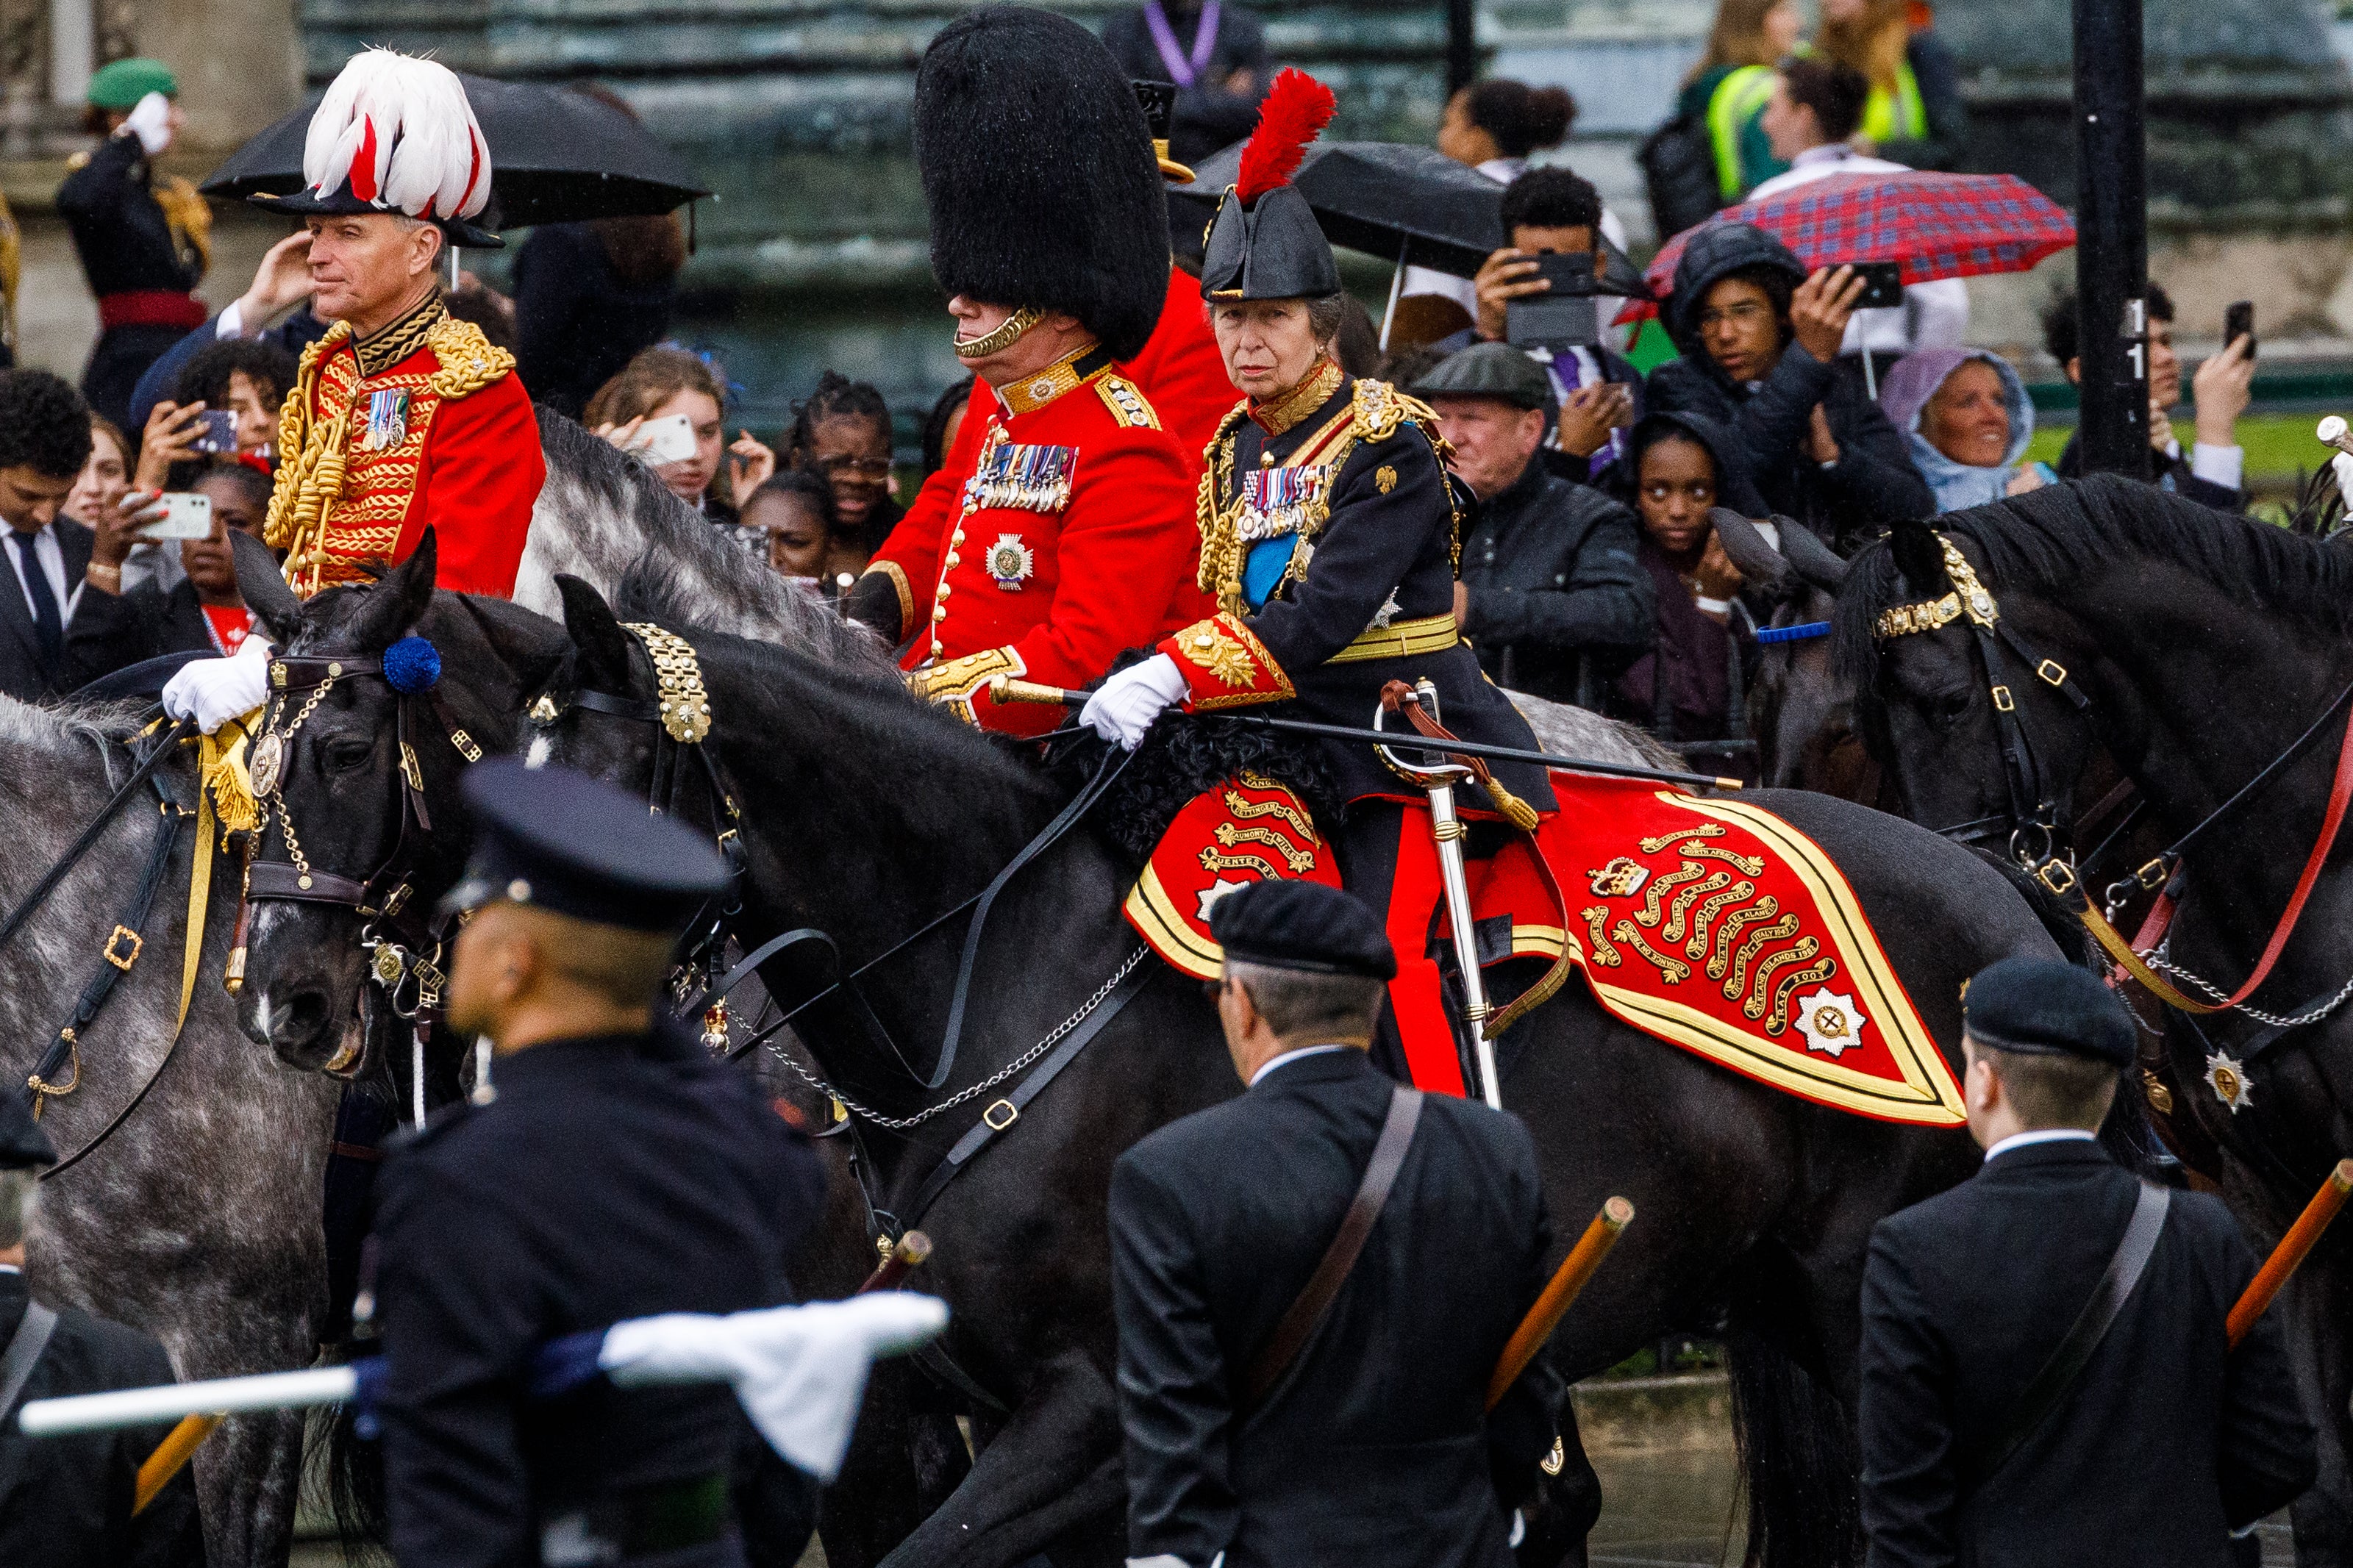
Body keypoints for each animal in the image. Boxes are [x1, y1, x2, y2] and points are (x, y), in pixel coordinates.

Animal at [1835, 472, 2353, 1561]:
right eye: (1871, 726)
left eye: (1948, 702)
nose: (1962, 877)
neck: (2317, 860)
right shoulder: (2280, 1197)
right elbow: (2326, 1493)